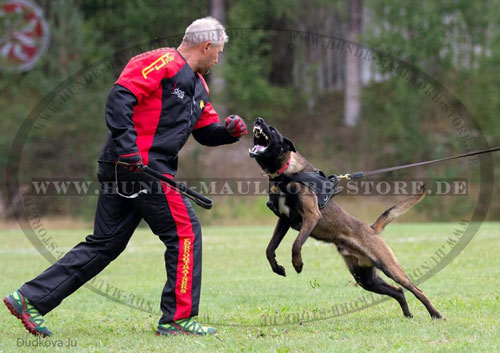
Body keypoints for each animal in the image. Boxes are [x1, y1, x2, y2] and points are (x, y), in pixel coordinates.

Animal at [250, 118, 442, 320]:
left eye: (272, 129)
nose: (259, 120)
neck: (284, 172)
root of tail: (371, 229)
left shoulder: (312, 215)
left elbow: (296, 244)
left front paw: (298, 263)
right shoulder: (284, 221)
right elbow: (270, 248)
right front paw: (277, 267)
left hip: (389, 267)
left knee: (416, 290)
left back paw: (435, 314)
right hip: (366, 278)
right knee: (398, 291)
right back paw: (408, 315)